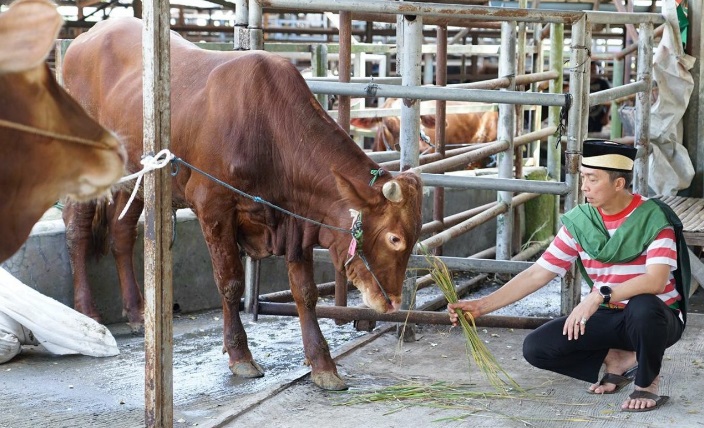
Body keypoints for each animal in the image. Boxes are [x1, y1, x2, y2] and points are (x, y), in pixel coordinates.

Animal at [62, 16, 424, 392]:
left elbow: (305, 291)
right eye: (394, 238)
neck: (269, 133)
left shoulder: (295, 220)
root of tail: (86, 38)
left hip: (135, 177)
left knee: (121, 232)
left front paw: (323, 364)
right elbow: (230, 281)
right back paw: (87, 313)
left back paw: (136, 312)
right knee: (77, 231)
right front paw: (240, 354)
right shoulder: (213, 207)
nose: (393, 302)